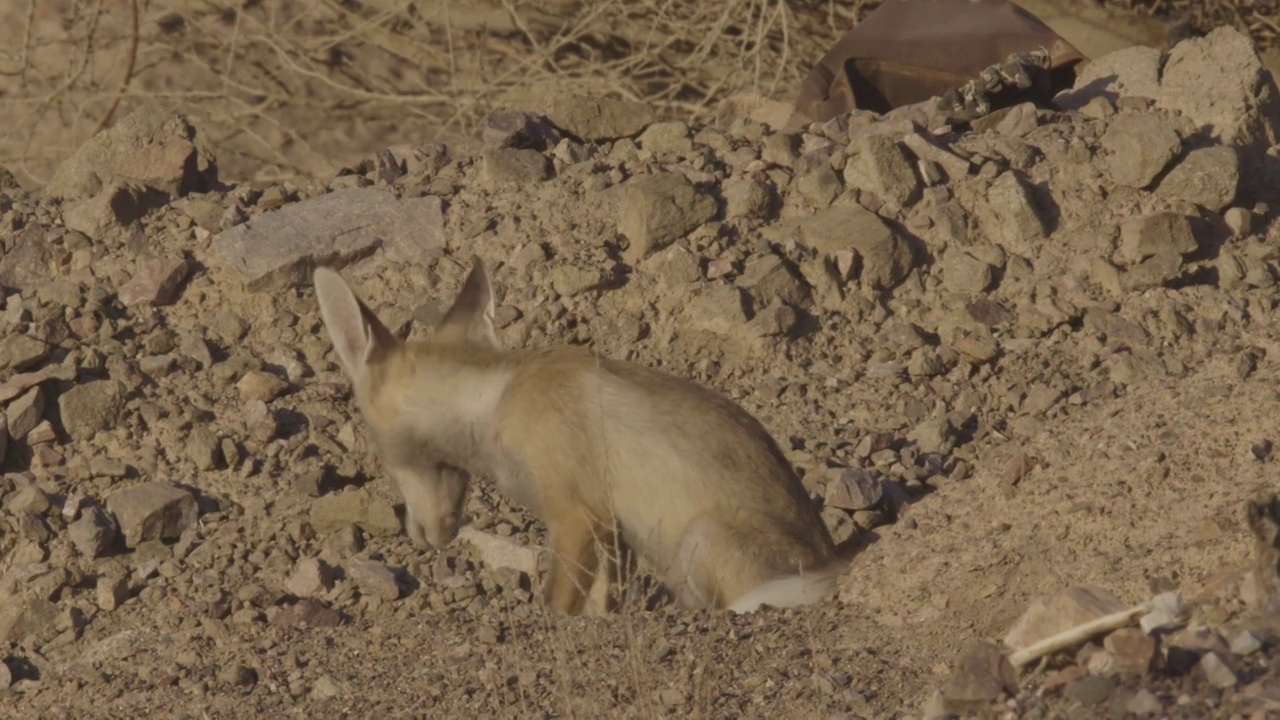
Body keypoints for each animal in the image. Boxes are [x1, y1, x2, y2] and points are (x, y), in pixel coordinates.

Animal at [311, 256, 849, 609]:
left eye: (382, 453)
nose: (429, 536)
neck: (497, 399)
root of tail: (831, 562)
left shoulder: (577, 515)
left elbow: (556, 606)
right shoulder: (610, 533)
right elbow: (598, 606)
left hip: (699, 540)